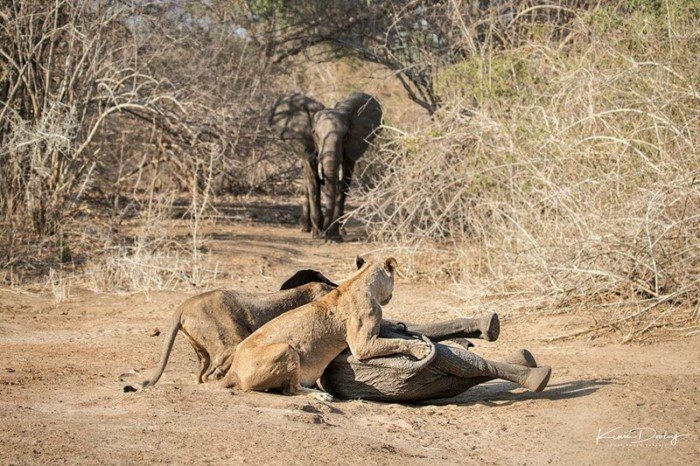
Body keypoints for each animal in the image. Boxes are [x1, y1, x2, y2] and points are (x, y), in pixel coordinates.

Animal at [272, 93, 382, 242]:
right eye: (315, 134)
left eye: (345, 135)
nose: (325, 232)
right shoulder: (308, 144)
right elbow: (313, 180)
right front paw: (317, 234)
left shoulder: (351, 145)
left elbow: (344, 182)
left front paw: (334, 236)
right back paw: (305, 228)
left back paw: (340, 230)